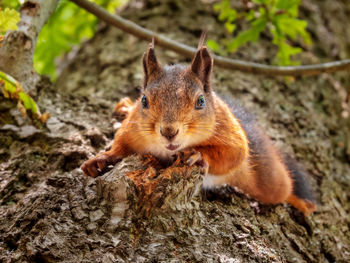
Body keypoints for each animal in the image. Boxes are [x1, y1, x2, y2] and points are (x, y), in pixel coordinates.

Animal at [82, 42, 318, 217]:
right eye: (144, 100)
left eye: (201, 102)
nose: (169, 132)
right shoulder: (133, 129)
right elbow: (121, 144)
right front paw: (101, 158)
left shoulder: (228, 131)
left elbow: (233, 154)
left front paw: (198, 155)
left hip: (268, 180)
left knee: (282, 188)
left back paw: (302, 203)